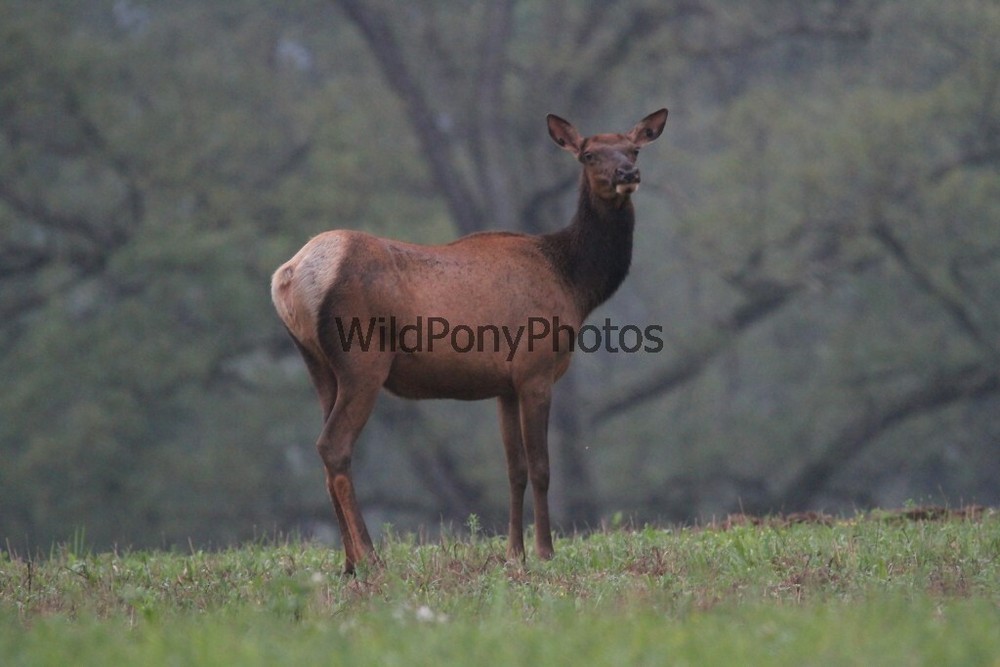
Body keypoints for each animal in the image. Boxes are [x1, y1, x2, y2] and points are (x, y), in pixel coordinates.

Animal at [271, 109, 667, 574]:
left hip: (316, 364)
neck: (574, 285)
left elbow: (514, 468)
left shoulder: (504, 385)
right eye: (588, 155)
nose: (628, 174)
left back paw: (349, 563)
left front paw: (515, 553)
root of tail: (289, 276)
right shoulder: (535, 369)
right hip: (362, 361)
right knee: (334, 446)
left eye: (634, 148)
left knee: (324, 452)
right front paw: (545, 551)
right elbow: (541, 466)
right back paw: (370, 557)